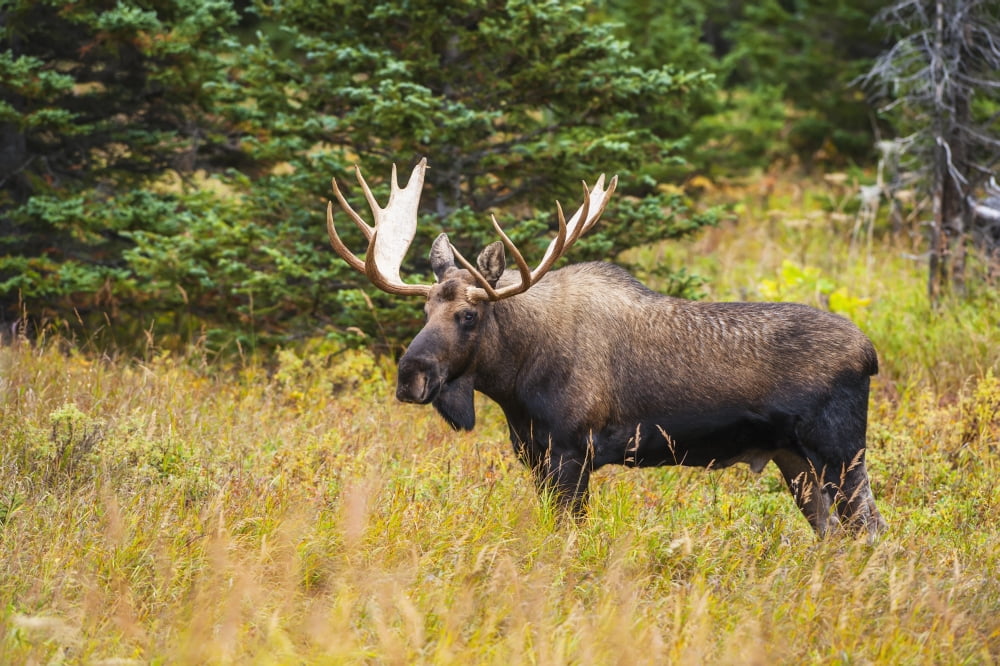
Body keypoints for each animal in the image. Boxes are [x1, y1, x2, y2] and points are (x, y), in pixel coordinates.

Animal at [325, 158, 888, 540]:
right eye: (423, 311)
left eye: (469, 315)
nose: (410, 375)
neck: (515, 381)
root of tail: (870, 353)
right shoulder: (535, 456)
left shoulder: (572, 453)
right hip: (795, 460)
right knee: (834, 534)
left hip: (840, 453)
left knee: (872, 531)